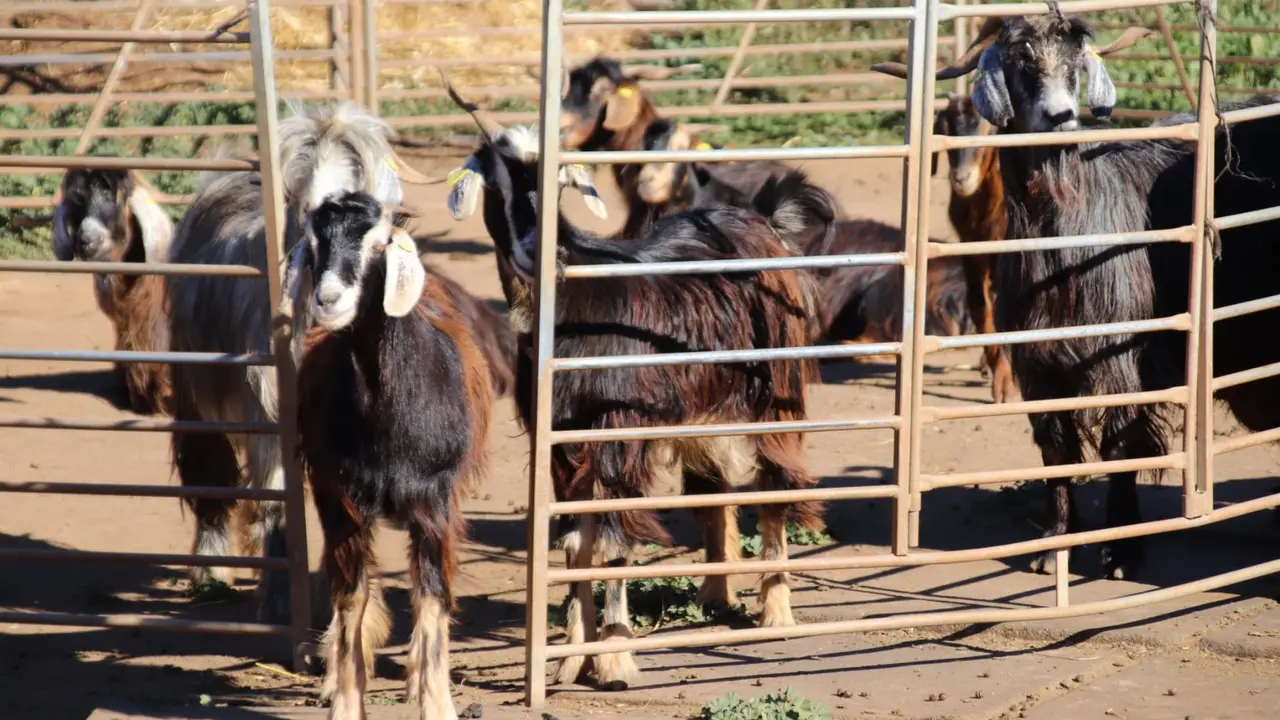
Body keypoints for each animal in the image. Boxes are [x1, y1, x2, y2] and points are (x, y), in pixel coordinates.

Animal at [164, 101, 437, 623]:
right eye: (304, 199)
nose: (331, 294)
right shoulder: (269, 411)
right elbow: (276, 504)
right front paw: (281, 604)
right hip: (193, 383)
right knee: (212, 470)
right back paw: (211, 570)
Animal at [290, 193, 491, 720]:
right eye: (314, 243)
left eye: (379, 244)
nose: (328, 299)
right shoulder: (340, 498)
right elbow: (351, 599)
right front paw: (345, 699)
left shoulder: (435, 501)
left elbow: (432, 598)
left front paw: (436, 702)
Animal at [442, 74, 834, 690]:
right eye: (496, 177)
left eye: (559, 180)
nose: (537, 248)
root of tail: (763, 218)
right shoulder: (560, 441)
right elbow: (576, 544)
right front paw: (571, 659)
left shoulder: (617, 431)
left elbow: (612, 541)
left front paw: (615, 659)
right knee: (714, 488)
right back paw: (716, 593)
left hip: (776, 391)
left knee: (775, 481)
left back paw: (776, 611)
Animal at [932, 93, 1017, 402]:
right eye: (945, 128)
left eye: (988, 128)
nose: (961, 178)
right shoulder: (970, 252)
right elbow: (980, 308)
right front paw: (998, 370)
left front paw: (1006, 385)